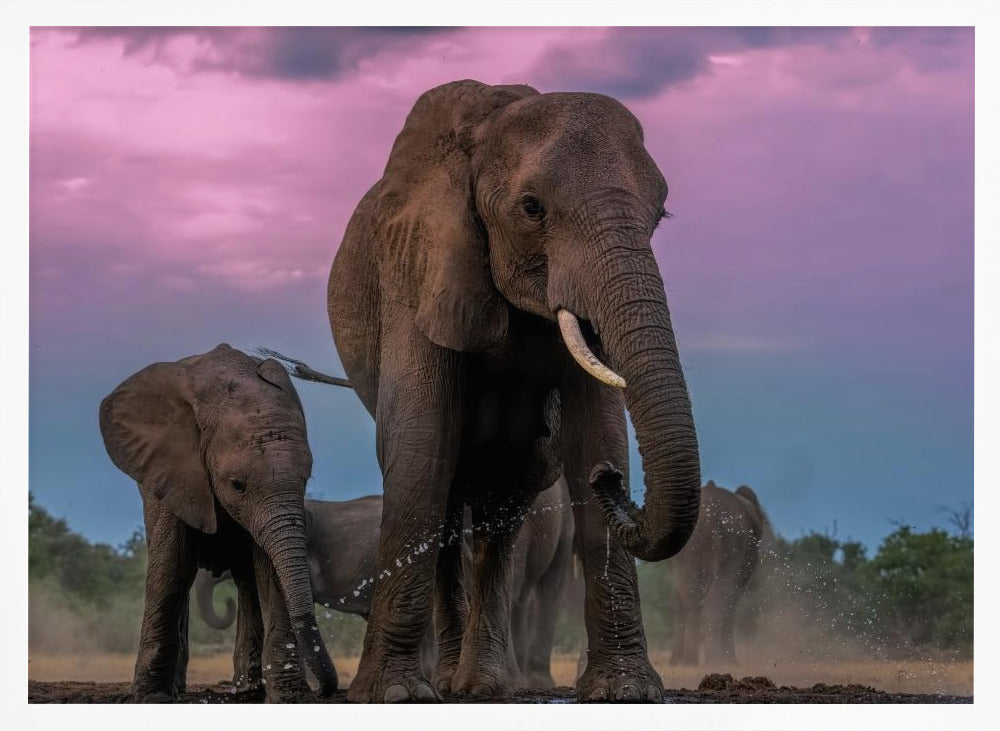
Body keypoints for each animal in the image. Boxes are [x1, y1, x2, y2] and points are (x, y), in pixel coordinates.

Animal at [99, 344, 337, 702]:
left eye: (306, 479)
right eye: (237, 485)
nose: (324, 690)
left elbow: (269, 570)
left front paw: (291, 698)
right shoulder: (172, 470)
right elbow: (172, 565)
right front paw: (150, 697)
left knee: (247, 582)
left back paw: (248, 690)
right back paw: (180, 689)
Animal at [327, 79, 701, 702]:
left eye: (661, 214)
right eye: (531, 208)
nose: (610, 482)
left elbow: (597, 431)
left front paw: (626, 691)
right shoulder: (416, 264)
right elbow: (422, 444)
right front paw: (393, 694)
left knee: (505, 506)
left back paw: (480, 685)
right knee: (449, 491)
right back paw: (448, 683)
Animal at [668, 481, 772, 667]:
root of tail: (709, 517)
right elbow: (731, 598)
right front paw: (731, 662)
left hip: (687, 549)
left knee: (688, 598)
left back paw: (688, 662)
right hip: (732, 544)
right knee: (717, 599)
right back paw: (714, 661)